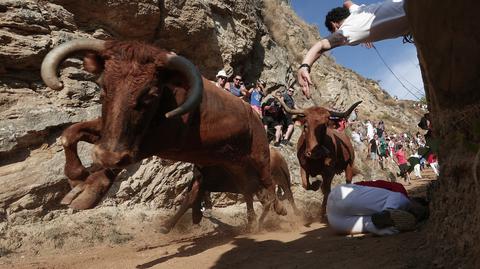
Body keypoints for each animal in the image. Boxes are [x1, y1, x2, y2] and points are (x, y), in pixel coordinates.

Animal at [41, 38, 284, 225]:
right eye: (103, 87)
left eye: (150, 94)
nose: (106, 154)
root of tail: (255, 116)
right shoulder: (110, 131)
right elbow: (70, 134)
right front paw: (77, 176)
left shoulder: (156, 142)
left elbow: (121, 161)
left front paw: (88, 190)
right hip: (236, 166)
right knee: (253, 192)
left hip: (260, 159)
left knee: (269, 191)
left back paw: (274, 214)